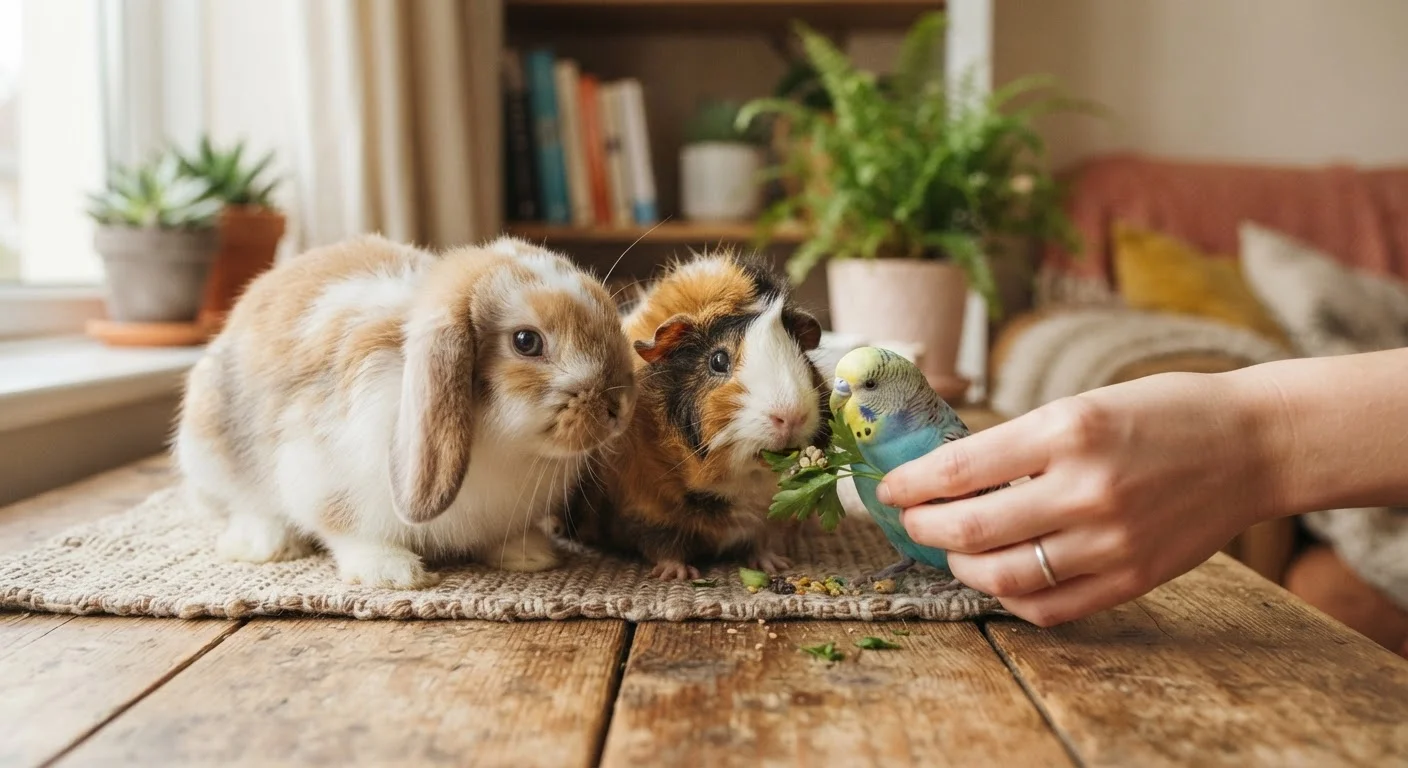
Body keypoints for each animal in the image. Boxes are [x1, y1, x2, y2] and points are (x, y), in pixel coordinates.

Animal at [174, 234, 637, 589]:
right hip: (209, 453)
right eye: (526, 341)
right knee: (243, 504)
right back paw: (265, 544)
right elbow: (344, 528)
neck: (502, 448)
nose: (619, 406)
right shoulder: (319, 471)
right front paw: (392, 574)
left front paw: (531, 555)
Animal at [557, 249, 830, 580]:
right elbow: (663, 544)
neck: (738, 482)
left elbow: (762, 540)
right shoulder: (644, 506)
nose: (791, 416)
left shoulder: (767, 516)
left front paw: (775, 565)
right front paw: (677, 574)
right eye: (718, 360)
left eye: (801, 355)